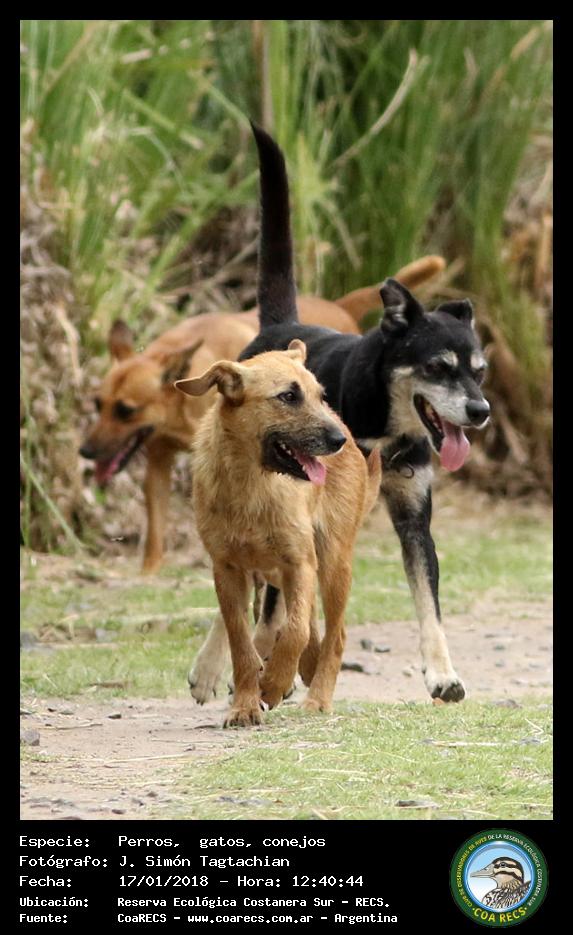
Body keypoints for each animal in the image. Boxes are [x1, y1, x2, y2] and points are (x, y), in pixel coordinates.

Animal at [79, 261, 443, 573]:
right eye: (97, 404)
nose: (85, 451)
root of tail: (338, 305)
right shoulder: (158, 460)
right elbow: (156, 527)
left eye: (126, 410)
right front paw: (149, 572)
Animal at [176, 341, 381, 726]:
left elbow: (295, 631)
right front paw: (245, 703)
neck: (252, 482)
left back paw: (317, 697)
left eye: (319, 395)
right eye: (288, 396)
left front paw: (271, 684)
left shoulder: (298, 561)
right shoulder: (227, 569)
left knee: (333, 634)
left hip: (332, 562)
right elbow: (241, 642)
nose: (339, 439)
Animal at [234, 123, 492, 704]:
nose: (481, 411)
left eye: (480, 371)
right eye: (438, 367)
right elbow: (282, 599)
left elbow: (428, 601)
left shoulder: (414, 517)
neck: (385, 429)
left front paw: (442, 673)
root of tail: (278, 325)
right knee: (265, 595)